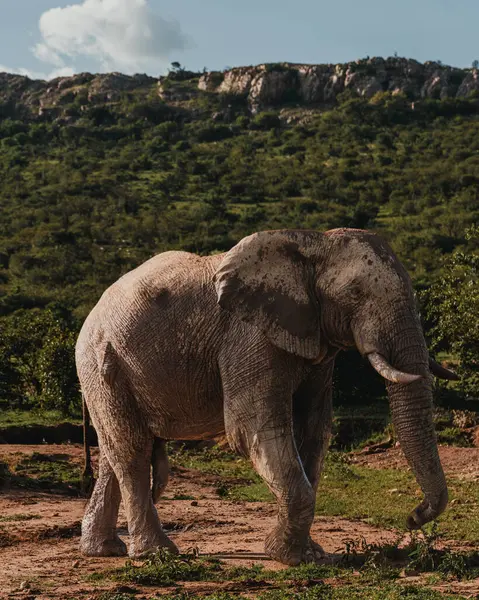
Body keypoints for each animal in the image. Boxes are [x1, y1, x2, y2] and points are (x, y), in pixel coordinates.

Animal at [77, 227, 460, 564]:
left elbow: (313, 430)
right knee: (132, 449)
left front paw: (309, 554)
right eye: (355, 294)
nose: (412, 518)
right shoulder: (248, 336)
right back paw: (155, 554)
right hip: (101, 363)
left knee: (114, 452)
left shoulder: (314, 342)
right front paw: (289, 557)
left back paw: (104, 550)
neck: (313, 244)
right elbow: (253, 427)